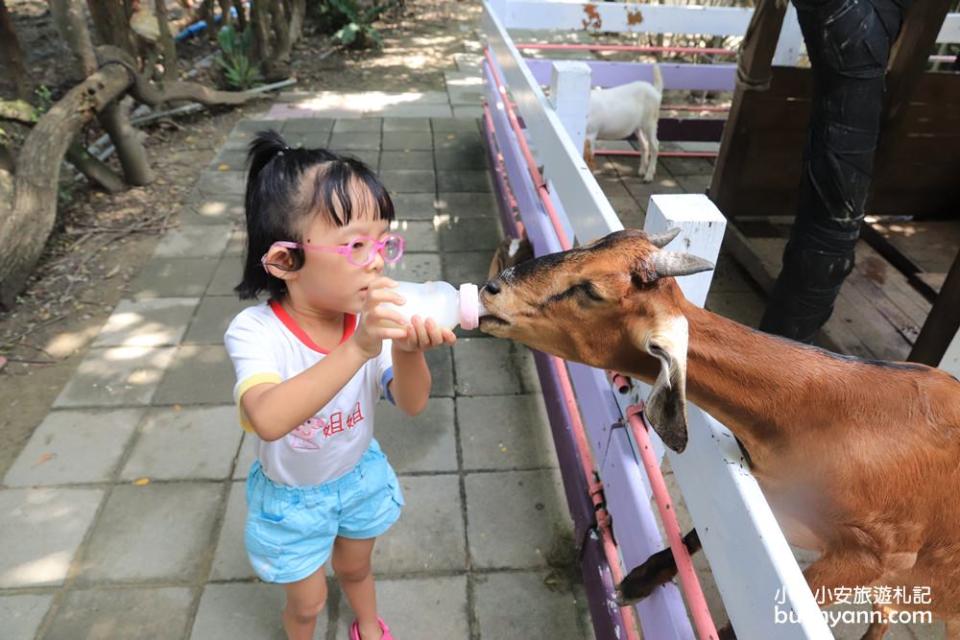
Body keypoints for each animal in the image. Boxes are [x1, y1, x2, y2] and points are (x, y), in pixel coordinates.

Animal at [480, 228, 960, 636]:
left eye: (590, 291)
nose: (490, 289)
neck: (827, 407)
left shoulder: (873, 558)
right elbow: (695, 534)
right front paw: (637, 581)